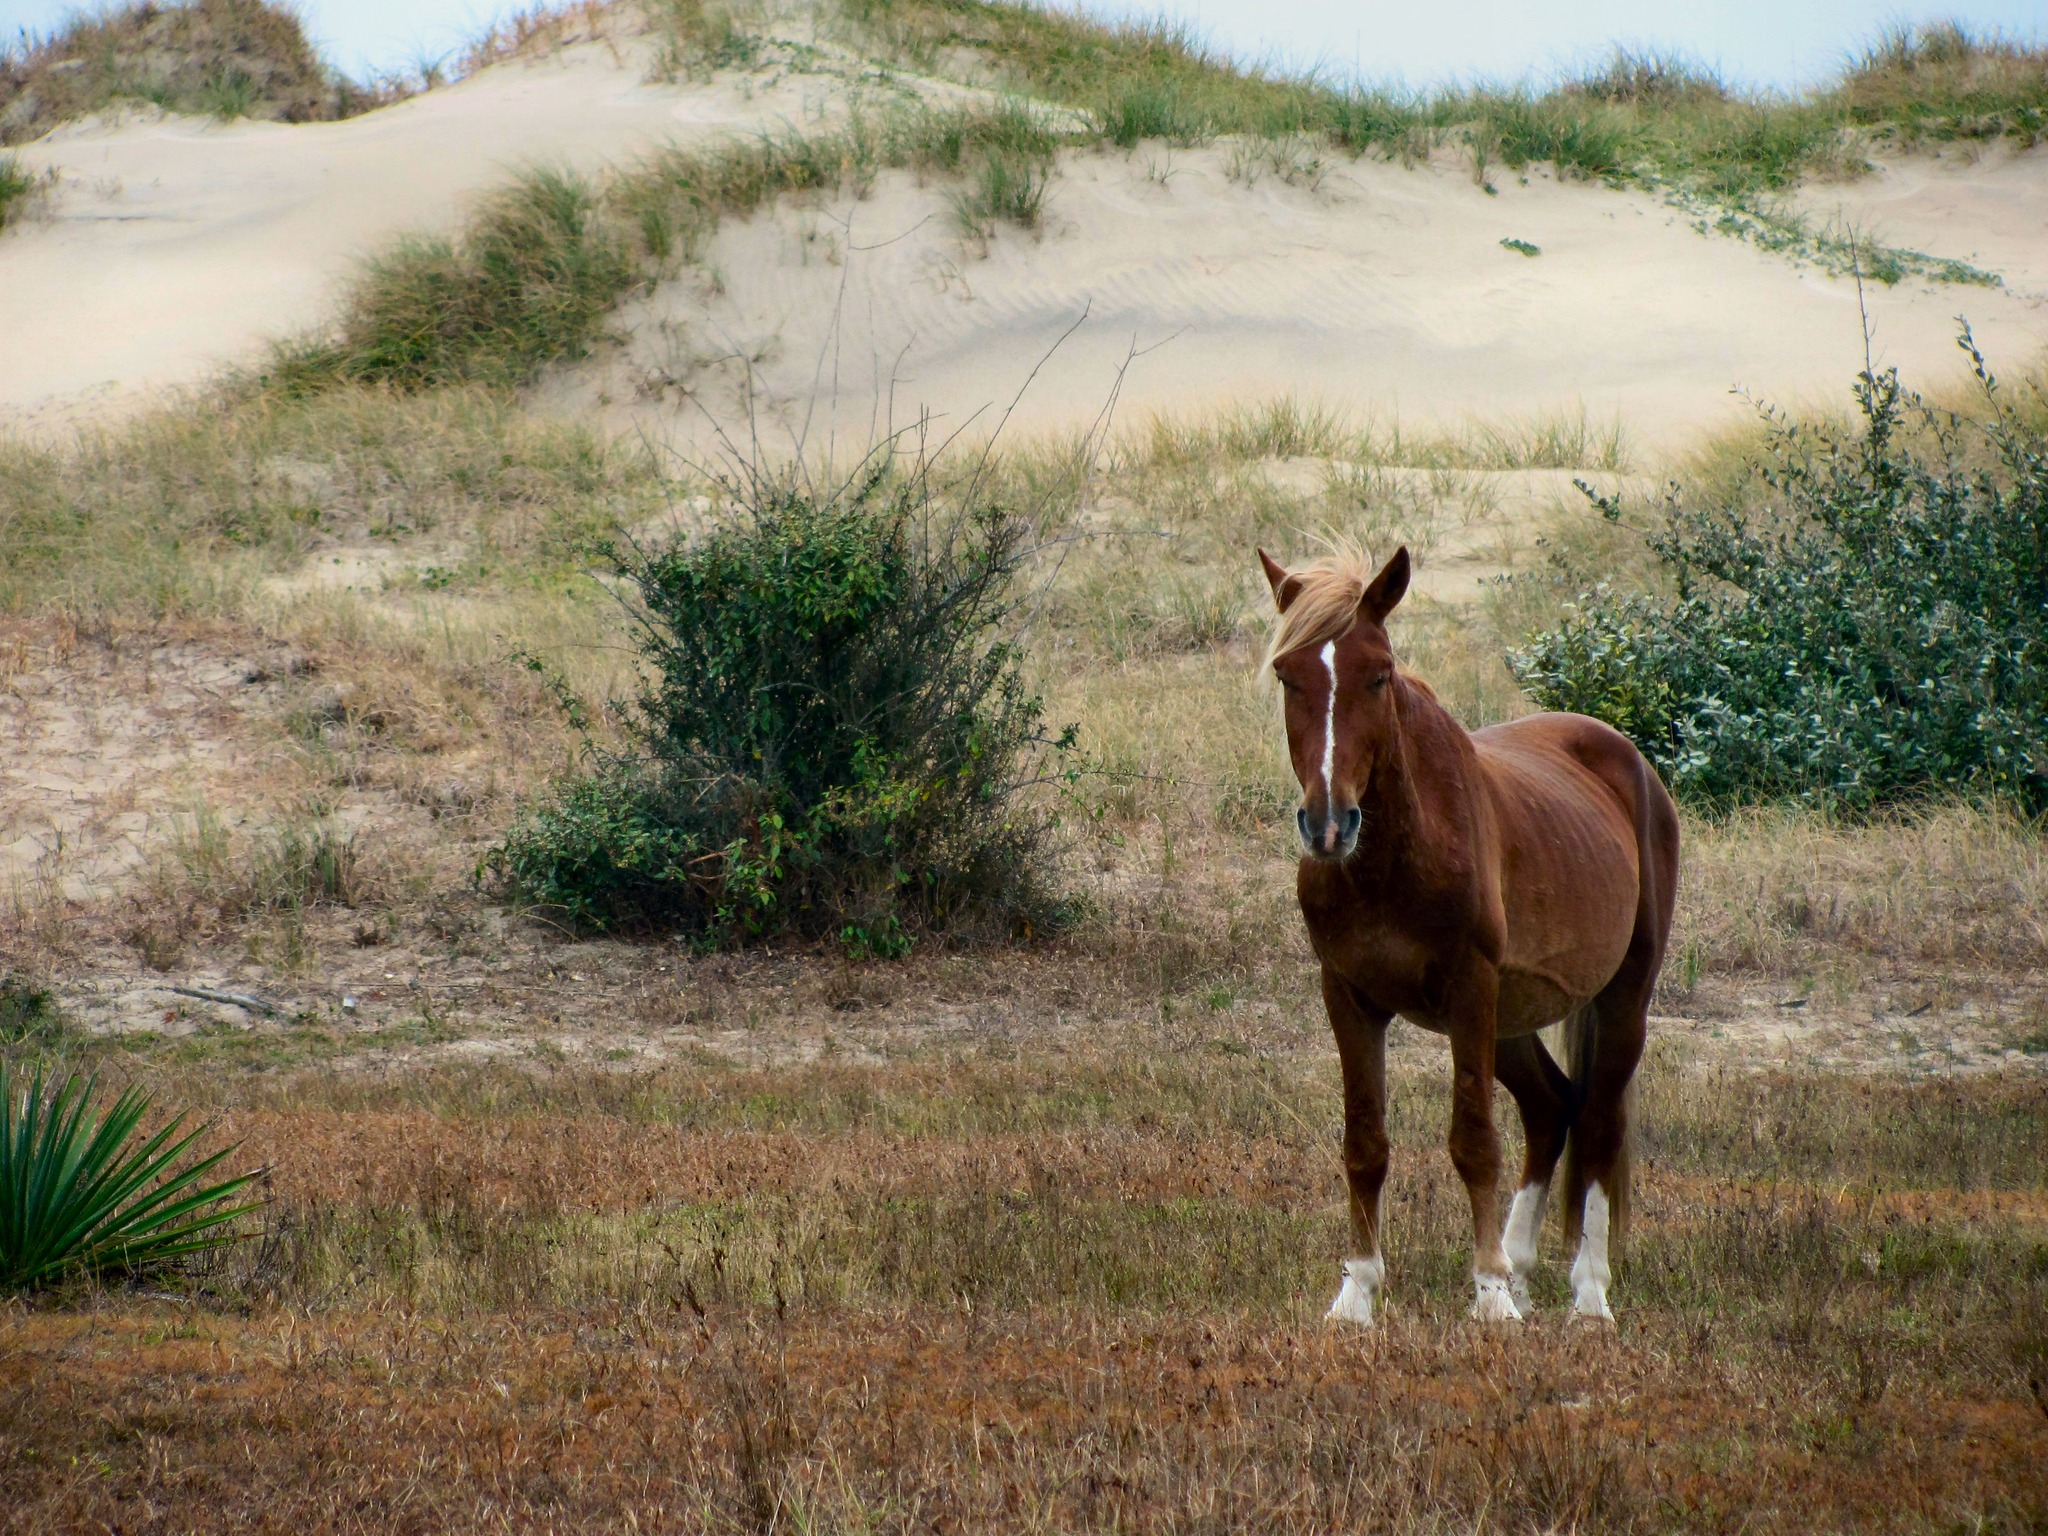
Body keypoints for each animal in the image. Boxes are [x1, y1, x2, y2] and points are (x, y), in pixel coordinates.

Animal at [1257, 543, 1679, 1324]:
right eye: (1286, 675)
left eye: (1379, 673)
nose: (1328, 825)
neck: (1394, 860)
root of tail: (1629, 762)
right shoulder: (1349, 995)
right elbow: (1365, 1142)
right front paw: (1357, 1294)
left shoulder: (1469, 989)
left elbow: (1474, 1141)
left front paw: (1489, 1297)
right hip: (1507, 1020)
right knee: (1552, 1108)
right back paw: (1521, 1267)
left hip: (1619, 997)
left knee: (1598, 1123)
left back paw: (1587, 1294)